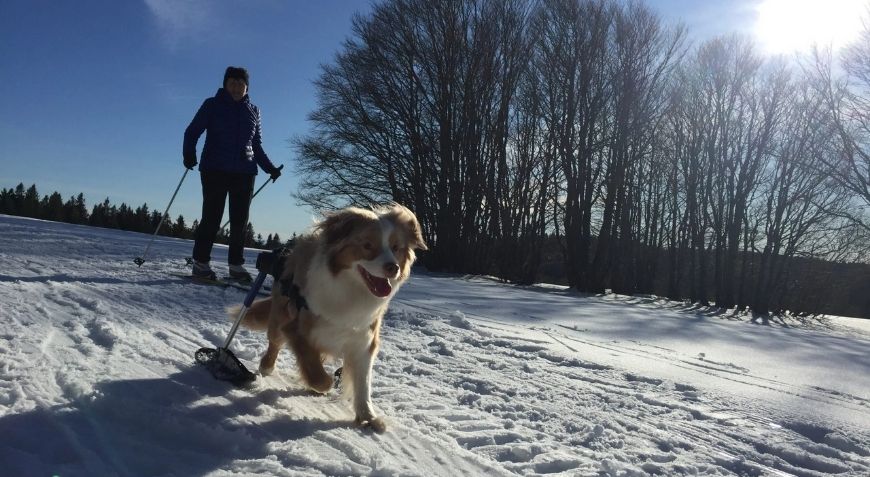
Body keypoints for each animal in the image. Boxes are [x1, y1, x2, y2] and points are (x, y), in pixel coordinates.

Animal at [235, 203, 430, 430]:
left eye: (396, 247)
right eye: (367, 245)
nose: (393, 267)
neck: (351, 290)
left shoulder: (363, 340)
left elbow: (363, 383)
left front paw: (367, 416)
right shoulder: (297, 329)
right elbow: (319, 376)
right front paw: (321, 384)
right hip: (280, 315)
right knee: (275, 342)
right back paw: (266, 366)